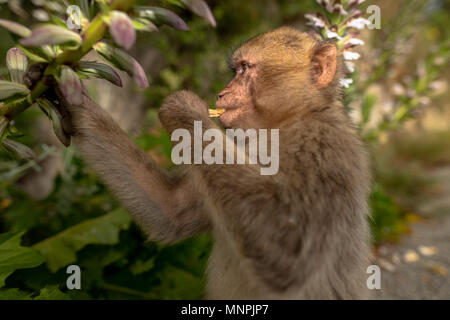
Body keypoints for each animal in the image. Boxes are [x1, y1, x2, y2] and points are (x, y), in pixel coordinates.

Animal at [43, 26, 372, 298]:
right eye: (235, 70)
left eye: (244, 70)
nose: (222, 93)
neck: (285, 124)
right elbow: (174, 210)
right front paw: (68, 94)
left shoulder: (322, 148)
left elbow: (289, 252)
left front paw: (187, 110)